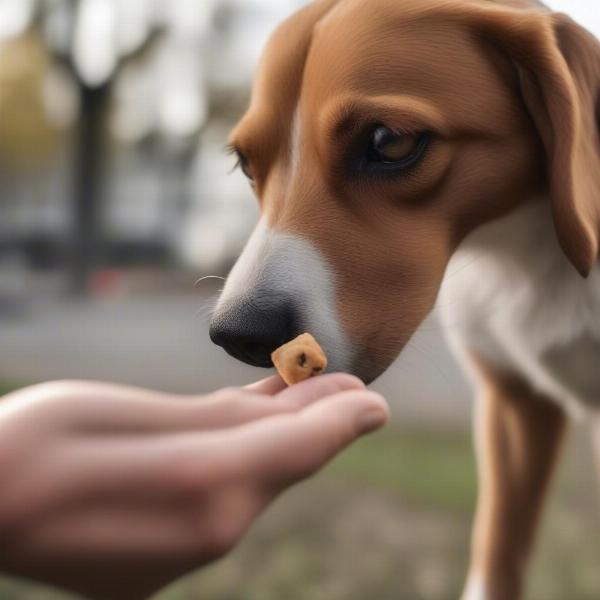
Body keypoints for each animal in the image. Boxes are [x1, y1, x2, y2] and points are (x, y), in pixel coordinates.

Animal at [207, 2, 600, 596]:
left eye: (388, 141)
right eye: (247, 164)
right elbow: (496, 550)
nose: (238, 334)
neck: (522, 255)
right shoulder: (512, 405)